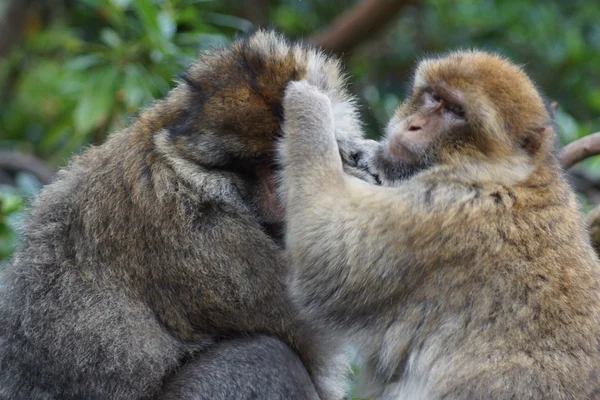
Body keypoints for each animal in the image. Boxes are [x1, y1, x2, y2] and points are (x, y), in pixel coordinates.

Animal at [0, 30, 378, 400]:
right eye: (265, 163)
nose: (282, 192)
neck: (187, 170)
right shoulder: (206, 243)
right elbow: (317, 332)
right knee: (265, 357)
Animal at [278, 51, 600, 398]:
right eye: (434, 96)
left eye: (457, 112)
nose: (413, 125)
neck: (506, 176)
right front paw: (366, 153)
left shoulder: (445, 212)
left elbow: (325, 256)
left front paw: (309, 102)